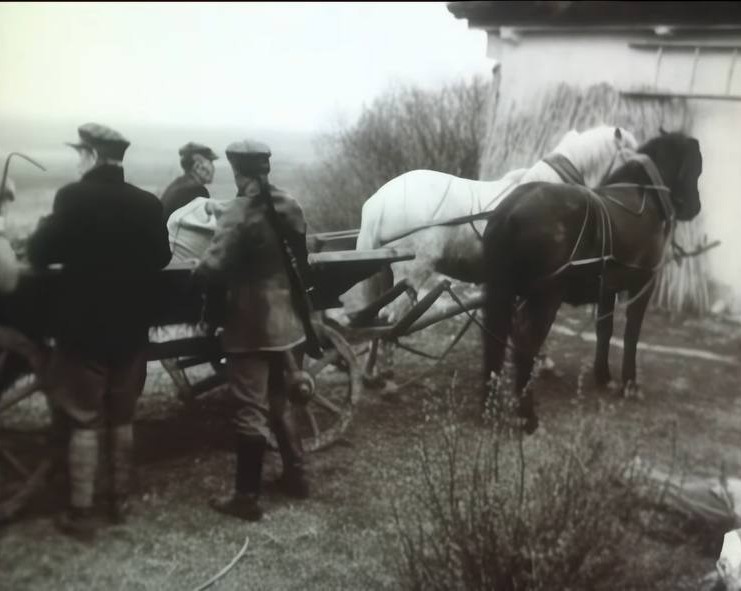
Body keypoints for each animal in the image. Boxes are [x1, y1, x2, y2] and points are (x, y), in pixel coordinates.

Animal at [481, 131, 703, 433]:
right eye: (696, 168)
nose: (696, 208)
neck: (643, 194)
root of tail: (509, 212)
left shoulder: (608, 288)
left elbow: (604, 330)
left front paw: (604, 376)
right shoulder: (643, 284)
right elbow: (631, 334)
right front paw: (629, 384)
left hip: (501, 292)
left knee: (494, 339)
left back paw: (488, 407)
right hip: (546, 297)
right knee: (525, 344)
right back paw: (528, 417)